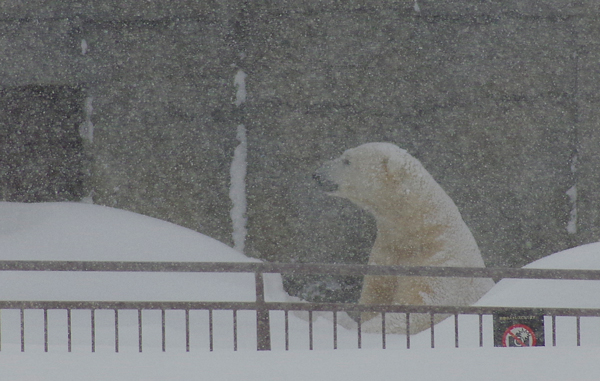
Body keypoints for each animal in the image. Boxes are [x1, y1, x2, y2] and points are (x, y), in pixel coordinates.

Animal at [312, 142, 494, 332]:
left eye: (347, 160)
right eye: (344, 156)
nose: (316, 174)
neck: (418, 232)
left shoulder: (440, 262)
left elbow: (420, 308)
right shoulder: (385, 256)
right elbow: (375, 295)